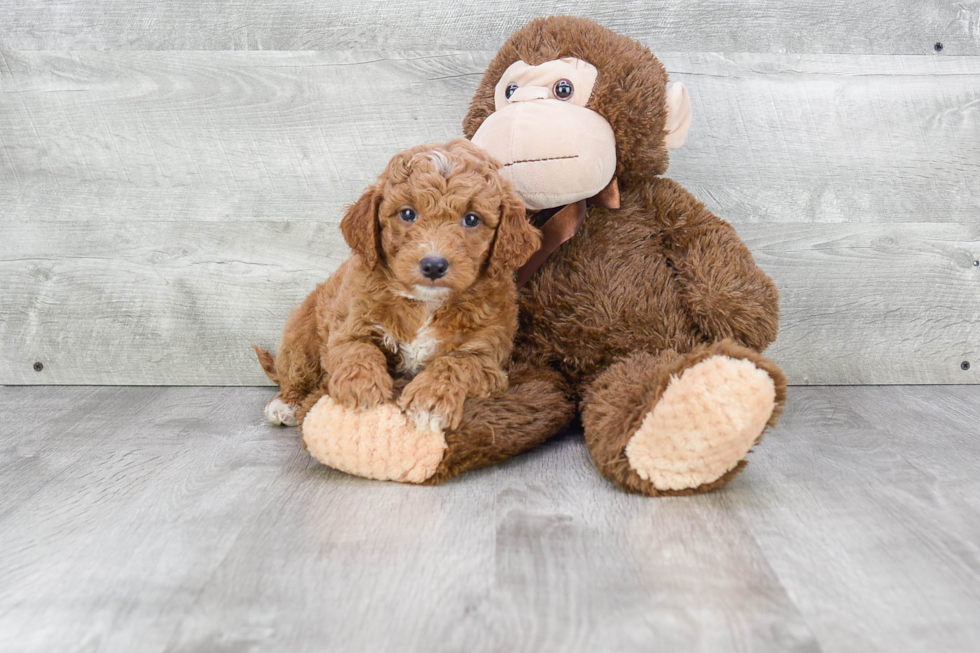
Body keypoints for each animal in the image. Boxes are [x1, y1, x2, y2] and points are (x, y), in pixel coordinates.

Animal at [253, 138, 540, 432]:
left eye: (472, 219)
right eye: (408, 214)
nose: (433, 265)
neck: (426, 303)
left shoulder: (486, 356)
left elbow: (454, 364)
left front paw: (429, 402)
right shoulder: (349, 326)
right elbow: (358, 349)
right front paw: (360, 388)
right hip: (302, 333)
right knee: (296, 370)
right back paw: (286, 403)